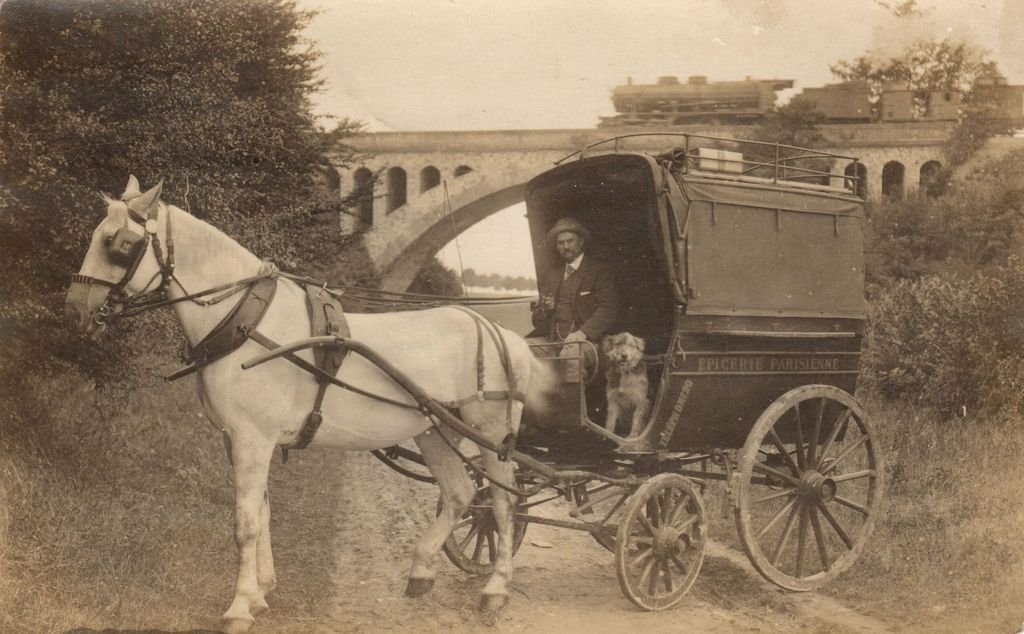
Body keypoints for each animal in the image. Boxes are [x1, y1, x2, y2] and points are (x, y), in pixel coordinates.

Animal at [67, 175, 540, 634]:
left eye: (118, 243)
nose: (76, 309)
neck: (247, 322)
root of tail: (501, 333)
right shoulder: (237, 440)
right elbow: (262, 510)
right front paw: (261, 592)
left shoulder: (253, 439)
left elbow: (245, 523)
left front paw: (239, 607)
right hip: (433, 432)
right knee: (460, 493)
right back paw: (421, 572)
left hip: (491, 434)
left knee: (502, 503)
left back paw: (495, 589)